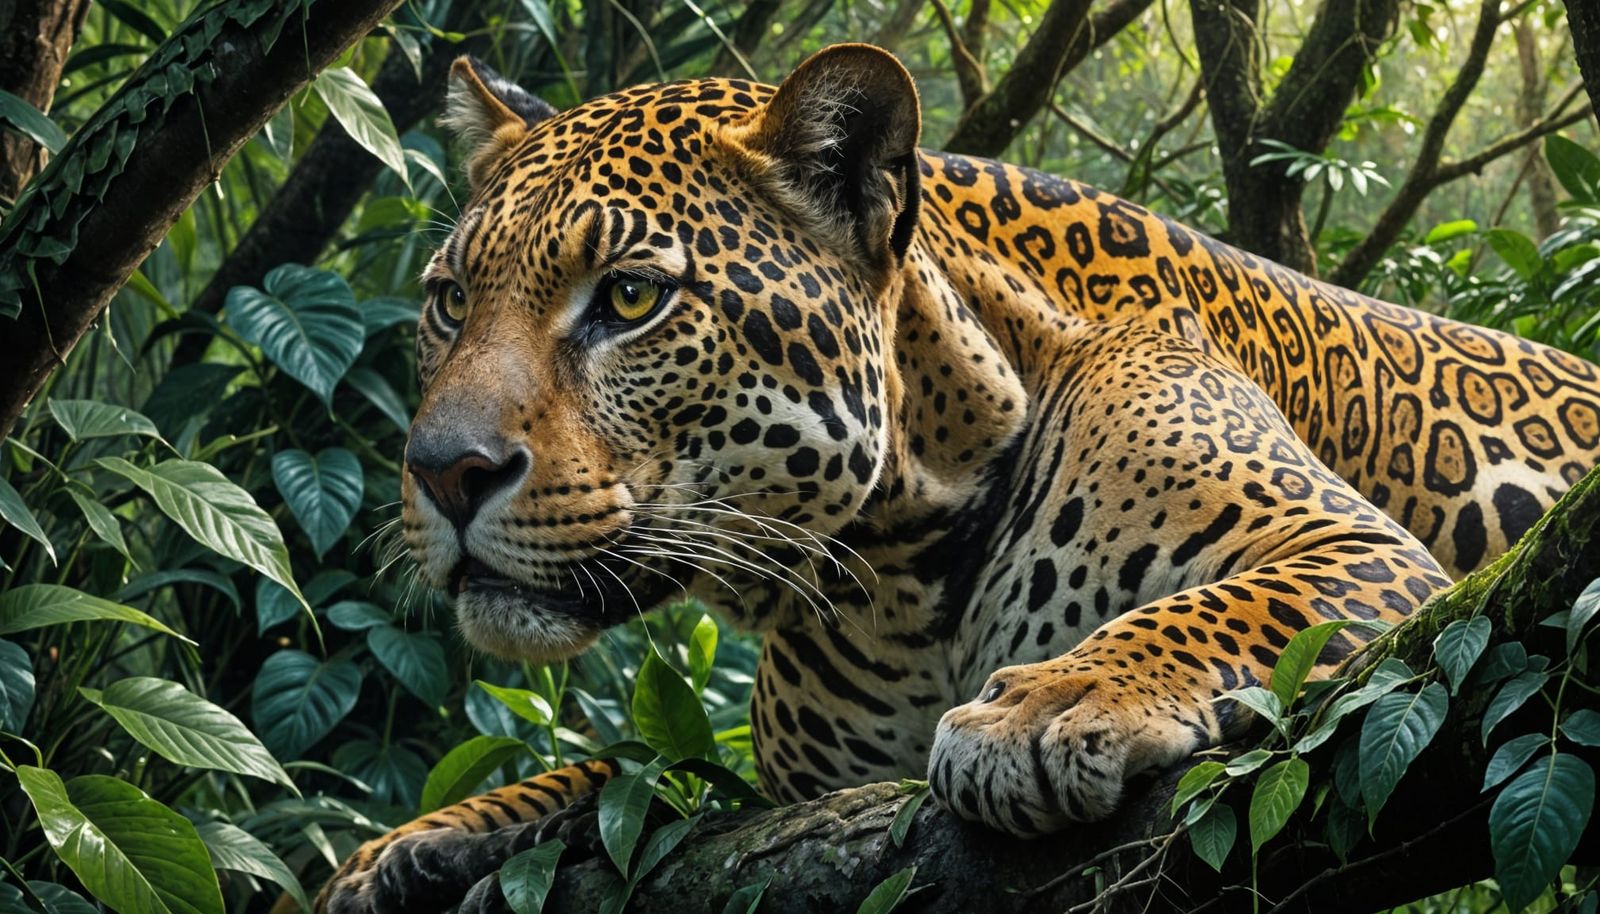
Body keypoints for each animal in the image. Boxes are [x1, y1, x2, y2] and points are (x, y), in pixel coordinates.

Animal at [315, 44, 1600, 912]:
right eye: (449, 301)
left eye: (630, 296)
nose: (442, 471)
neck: (890, 566)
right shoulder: (792, 798)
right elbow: (637, 773)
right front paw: (415, 840)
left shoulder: (1343, 548)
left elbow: (1202, 609)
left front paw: (1050, 702)